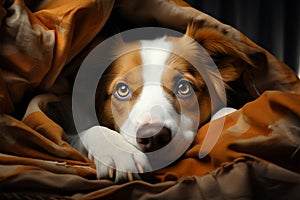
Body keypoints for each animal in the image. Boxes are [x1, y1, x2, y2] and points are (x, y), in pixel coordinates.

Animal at [40, 23, 264, 183]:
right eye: (122, 90)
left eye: (184, 87)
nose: (154, 136)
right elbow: (85, 131)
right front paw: (119, 151)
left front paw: (229, 118)